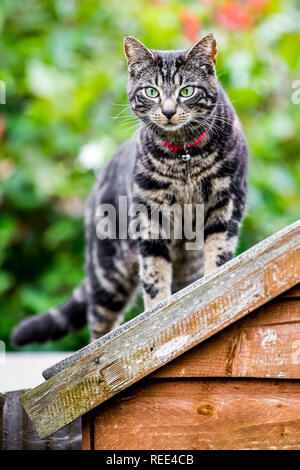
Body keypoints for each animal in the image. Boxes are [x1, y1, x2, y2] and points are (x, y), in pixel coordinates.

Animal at [10, 34, 247, 346]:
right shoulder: (150, 214)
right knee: (98, 327)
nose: (168, 111)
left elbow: (218, 257)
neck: (184, 158)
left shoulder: (226, 204)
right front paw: (158, 313)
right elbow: (155, 275)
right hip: (108, 276)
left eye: (186, 91)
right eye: (151, 91)